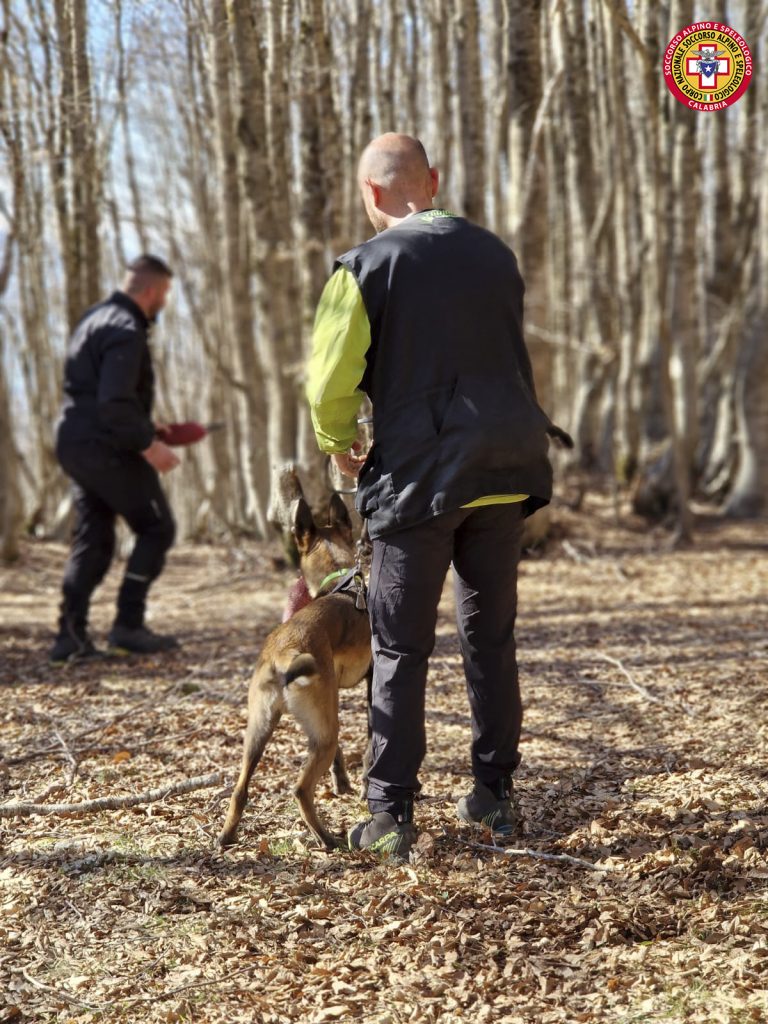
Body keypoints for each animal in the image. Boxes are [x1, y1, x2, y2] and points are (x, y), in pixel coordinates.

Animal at [219, 491, 372, 851]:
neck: (340, 582)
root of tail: (285, 652)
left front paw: (342, 782)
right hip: (321, 733)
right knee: (301, 789)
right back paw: (327, 838)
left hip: (260, 730)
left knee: (240, 789)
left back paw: (227, 836)